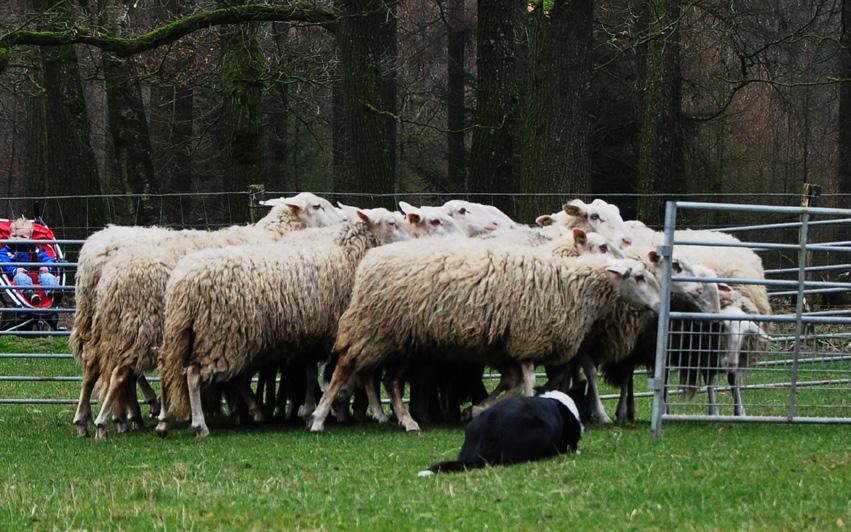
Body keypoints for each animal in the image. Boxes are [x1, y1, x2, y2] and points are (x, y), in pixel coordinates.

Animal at [75, 193, 340, 438]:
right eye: (317, 206)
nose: (341, 217)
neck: (274, 234)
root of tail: (110, 276)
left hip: (109, 324)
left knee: (94, 364)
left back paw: (92, 420)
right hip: (142, 325)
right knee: (123, 371)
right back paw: (119, 419)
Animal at [159, 208, 412, 436]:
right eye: (391, 223)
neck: (348, 256)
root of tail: (183, 283)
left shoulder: (313, 336)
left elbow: (313, 375)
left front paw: (312, 412)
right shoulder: (352, 329)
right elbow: (359, 373)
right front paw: (369, 411)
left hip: (207, 336)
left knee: (199, 372)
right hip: (221, 336)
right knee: (193, 375)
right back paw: (201, 425)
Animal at [310, 235, 664, 434]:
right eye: (639, 277)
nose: (660, 307)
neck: (570, 285)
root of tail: (367, 263)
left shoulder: (507, 347)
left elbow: (515, 383)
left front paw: (476, 410)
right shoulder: (526, 340)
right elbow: (526, 384)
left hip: (403, 339)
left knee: (387, 380)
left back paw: (405, 421)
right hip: (375, 329)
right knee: (345, 368)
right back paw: (319, 418)